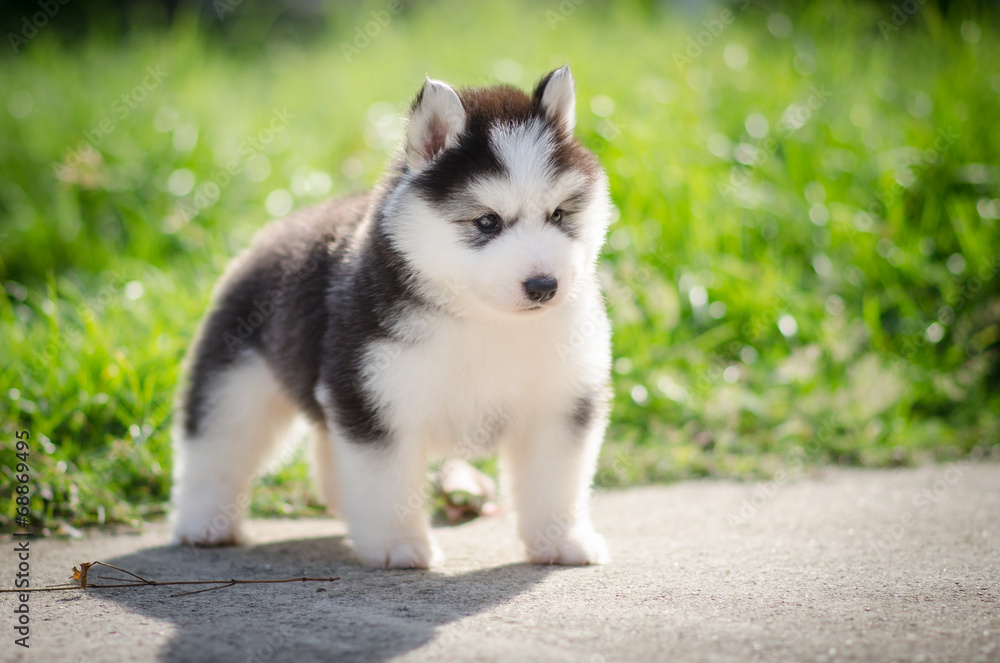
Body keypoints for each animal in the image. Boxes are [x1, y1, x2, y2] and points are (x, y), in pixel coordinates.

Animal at [168, 65, 612, 568]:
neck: (485, 320)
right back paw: (204, 524)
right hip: (237, 384)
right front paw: (397, 545)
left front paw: (562, 540)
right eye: (487, 222)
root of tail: (276, 229)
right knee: (215, 448)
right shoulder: (373, 398)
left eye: (558, 214)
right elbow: (385, 482)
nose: (543, 286)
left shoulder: (563, 403)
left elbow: (556, 482)